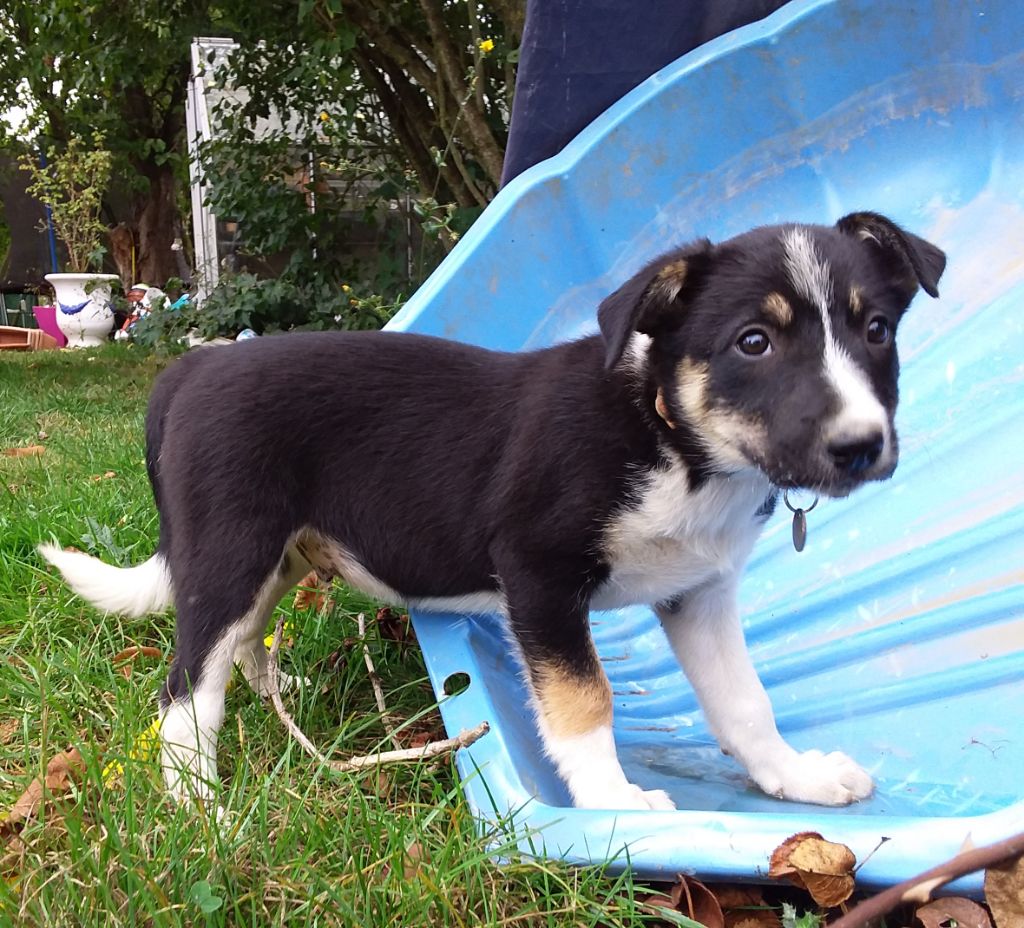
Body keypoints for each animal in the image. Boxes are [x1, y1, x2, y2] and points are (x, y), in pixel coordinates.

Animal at [40, 211, 944, 811]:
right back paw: (206, 812)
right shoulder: (539, 573)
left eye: (876, 330)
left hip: (276, 554)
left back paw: (275, 693)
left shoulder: (701, 593)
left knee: (243, 642)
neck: (669, 436)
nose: (860, 446)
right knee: (185, 695)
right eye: (753, 342)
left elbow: (744, 702)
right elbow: (584, 700)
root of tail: (185, 372)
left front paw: (795, 776)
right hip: (230, 552)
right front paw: (614, 805)